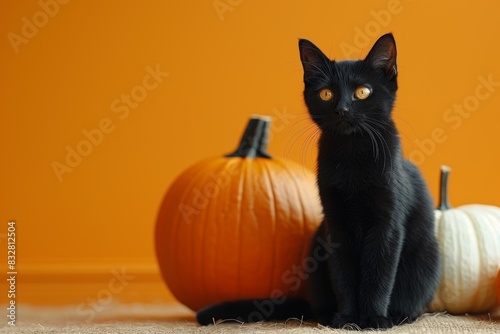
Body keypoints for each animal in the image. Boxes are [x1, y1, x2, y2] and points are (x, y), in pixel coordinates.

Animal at [197, 32, 440, 330]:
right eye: (326, 94)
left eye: (363, 92)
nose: (342, 109)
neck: (351, 156)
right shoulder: (335, 225)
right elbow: (343, 275)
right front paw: (347, 318)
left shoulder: (386, 224)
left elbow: (378, 275)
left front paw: (373, 319)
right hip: (316, 246)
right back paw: (326, 315)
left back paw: (397, 315)